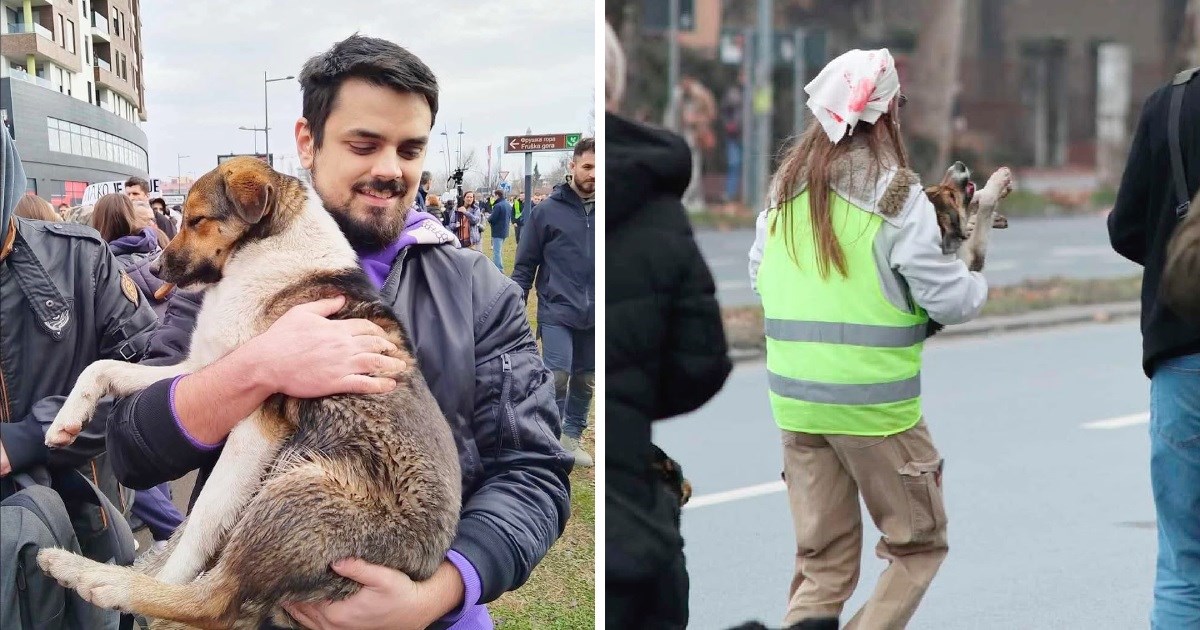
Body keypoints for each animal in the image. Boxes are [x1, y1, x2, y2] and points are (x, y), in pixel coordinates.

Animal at [36, 156, 458, 624]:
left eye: (196, 220)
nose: (156, 271)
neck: (264, 253)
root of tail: (420, 566)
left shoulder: (258, 422)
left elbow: (203, 519)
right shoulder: (199, 370)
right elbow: (101, 367)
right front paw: (65, 422)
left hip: (298, 490)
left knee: (211, 597)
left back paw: (98, 580)